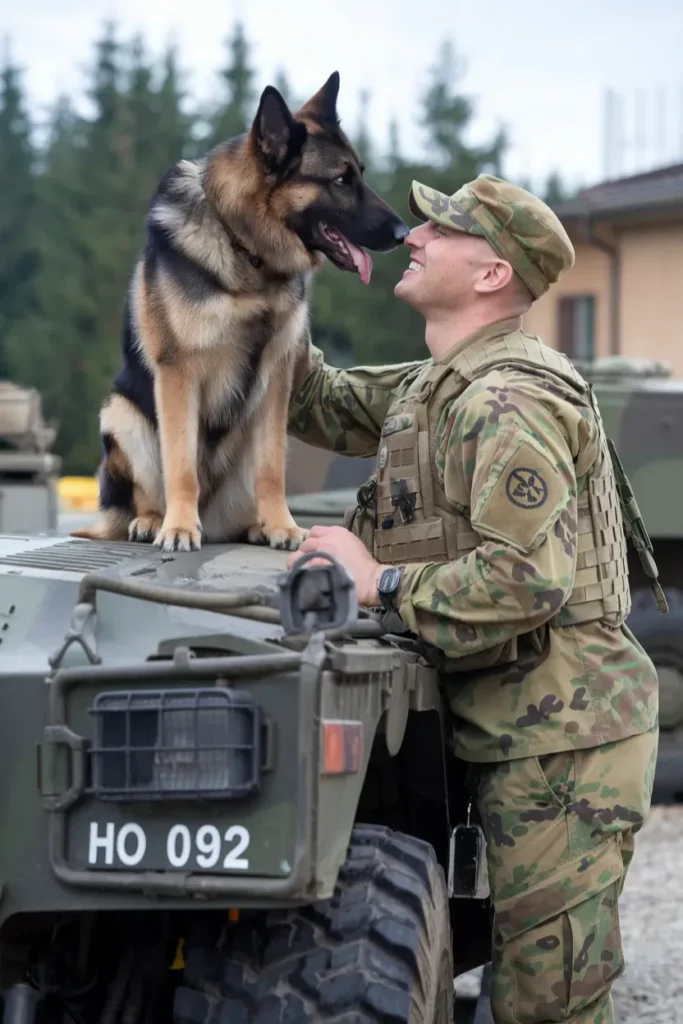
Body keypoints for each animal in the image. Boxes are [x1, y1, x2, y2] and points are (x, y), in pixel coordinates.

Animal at [72, 72, 409, 552]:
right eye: (341, 180)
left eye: (359, 174)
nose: (404, 233)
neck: (246, 250)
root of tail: (214, 520)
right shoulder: (178, 374)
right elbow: (181, 465)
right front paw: (179, 527)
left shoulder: (276, 378)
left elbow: (272, 469)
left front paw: (283, 525)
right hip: (122, 415)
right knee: (143, 495)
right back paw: (154, 521)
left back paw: (255, 526)